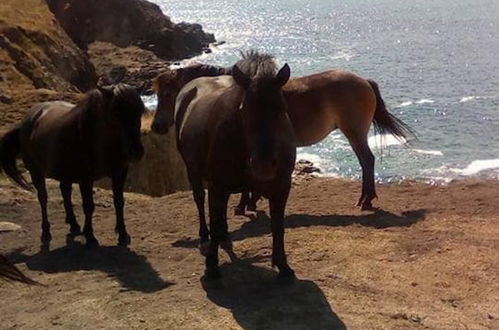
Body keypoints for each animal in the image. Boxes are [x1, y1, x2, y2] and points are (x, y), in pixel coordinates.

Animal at [0, 84, 146, 249]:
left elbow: (119, 202)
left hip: (65, 173)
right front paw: (90, 236)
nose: (136, 151)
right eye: (115, 112)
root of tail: (28, 119)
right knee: (43, 198)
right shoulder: (85, 178)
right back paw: (46, 232)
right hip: (36, 172)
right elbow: (88, 206)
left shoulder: (119, 173)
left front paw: (122, 234)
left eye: (140, 111)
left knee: (65, 192)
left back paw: (74, 224)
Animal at [151, 63, 414, 211]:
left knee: (367, 161)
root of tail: (364, 82)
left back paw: (365, 200)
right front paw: (250, 201)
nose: (156, 126)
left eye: (168, 94)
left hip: (354, 133)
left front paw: (245, 203)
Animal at [175, 51, 296, 278]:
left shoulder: (281, 187)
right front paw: (212, 267)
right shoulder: (216, 185)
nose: (263, 165)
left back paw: (224, 236)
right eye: (243, 109)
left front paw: (283, 266)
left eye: (281, 108)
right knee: (200, 201)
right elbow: (214, 219)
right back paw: (205, 238)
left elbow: (278, 226)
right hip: (193, 170)